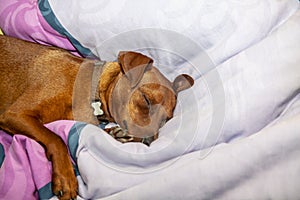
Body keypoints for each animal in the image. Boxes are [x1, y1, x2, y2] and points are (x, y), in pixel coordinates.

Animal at [0, 35, 195, 199]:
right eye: (146, 100)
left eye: (165, 120)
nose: (148, 142)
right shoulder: (14, 115)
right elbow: (56, 139)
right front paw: (65, 178)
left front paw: (119, 134)